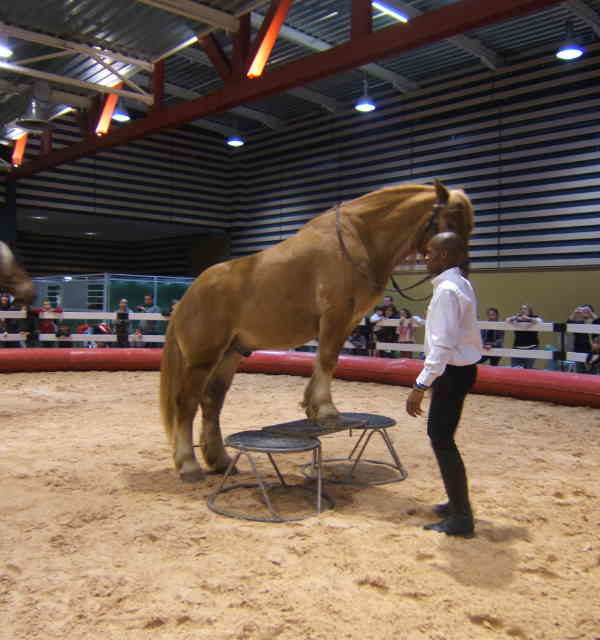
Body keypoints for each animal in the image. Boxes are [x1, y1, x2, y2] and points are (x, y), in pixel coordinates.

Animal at [160, 180, 475, 482]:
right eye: (451, 219)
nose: (461, 269)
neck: (358, 238)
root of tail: (187, 297)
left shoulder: (346, 322)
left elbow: (325, 360)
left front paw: (313, 407)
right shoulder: (335, 315)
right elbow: (327, 359)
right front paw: (326, 410)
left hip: (230, 354)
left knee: (211, 402)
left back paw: (221, 461)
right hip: (202, 359)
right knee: (186, 403)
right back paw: (188, 465)